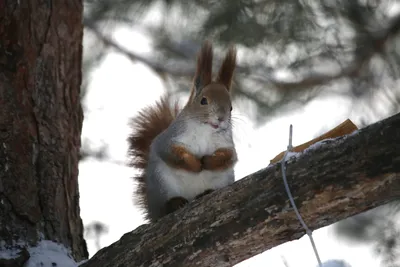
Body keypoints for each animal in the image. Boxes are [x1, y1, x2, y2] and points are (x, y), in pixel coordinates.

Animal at [127, 41, 238, 222]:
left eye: (231, 107)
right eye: (203, 101)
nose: (221, 119)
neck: (205, 130)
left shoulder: (226, 143)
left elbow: (229, 157)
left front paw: (208, 161)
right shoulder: (169, 139)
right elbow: (173, 153)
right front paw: (195, 163)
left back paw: (206, 193)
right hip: (162, 184)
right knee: (165, 207)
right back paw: (174, 203)